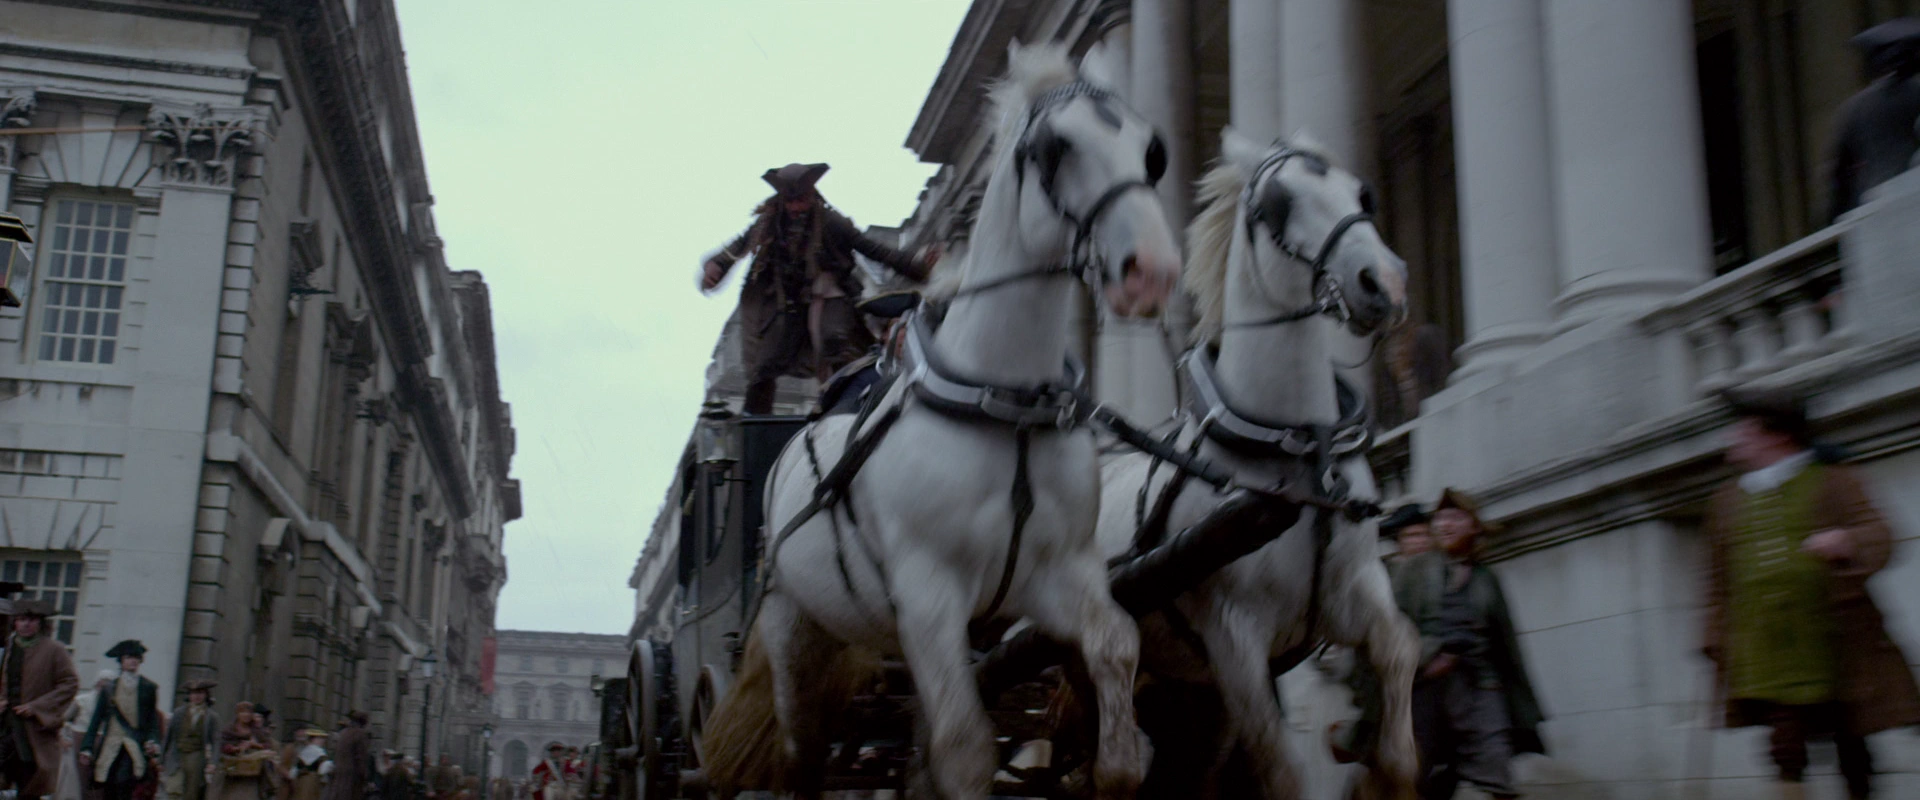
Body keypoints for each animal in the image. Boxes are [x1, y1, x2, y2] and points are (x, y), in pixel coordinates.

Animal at [740, 42, 1183, 800]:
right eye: (1054, 148)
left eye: (1150, 150)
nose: (1150, 271)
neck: (1003, 403)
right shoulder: (929, 594)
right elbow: (966, 752)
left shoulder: (1054, 579)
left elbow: (1116, 653)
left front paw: (1115, 762)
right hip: (793, 624)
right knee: (803, 751)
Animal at [1093, 128, 1418, 800]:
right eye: (1278, 203)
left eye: (1362, 195)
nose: (1386, 283)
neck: (1297, 450)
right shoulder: (1234, 639)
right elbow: (1281, 767)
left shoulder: (1357, 590)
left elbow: (1400, 649)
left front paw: (1386, 773)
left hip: (1183, 691)